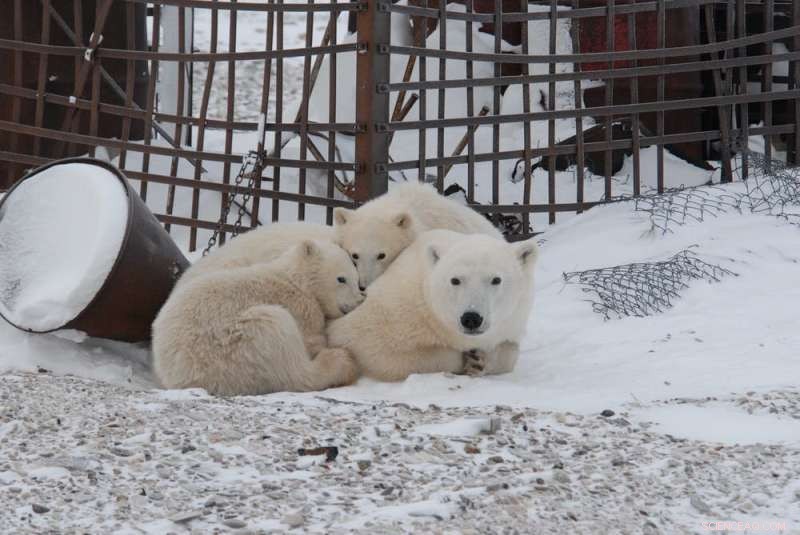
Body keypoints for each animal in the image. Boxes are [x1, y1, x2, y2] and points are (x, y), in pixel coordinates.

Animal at [152, 240, 364, 396]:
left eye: (357, 279)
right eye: (341, 279)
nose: (358, 301)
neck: (296, 280)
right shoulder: (302, 307)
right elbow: (312, 340)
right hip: (235, 347)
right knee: (286, 355)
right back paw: (341, 361)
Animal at [326, 229, 538, 382]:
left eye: (496, 279)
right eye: (455, 280)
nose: (471, 318)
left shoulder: (512, 322)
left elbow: (510, 351)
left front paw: (479, 360)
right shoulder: (396, 310)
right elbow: (371, 345)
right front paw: (465, 360)